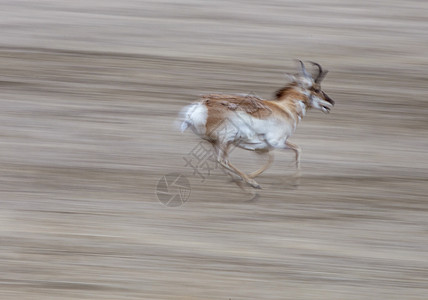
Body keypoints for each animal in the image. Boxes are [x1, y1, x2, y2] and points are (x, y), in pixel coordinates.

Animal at [181, 59, 334, 189]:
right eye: (317, 89)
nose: (331, 102)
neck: (285, 109)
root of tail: (201, 105)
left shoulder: (264, 147)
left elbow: (288, 153)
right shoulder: (275, 142)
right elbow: (286, 154)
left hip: (215, 142)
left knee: (220, 162)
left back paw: (240, 181)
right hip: (226, 140)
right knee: (223, 161)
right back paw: (252, 184)